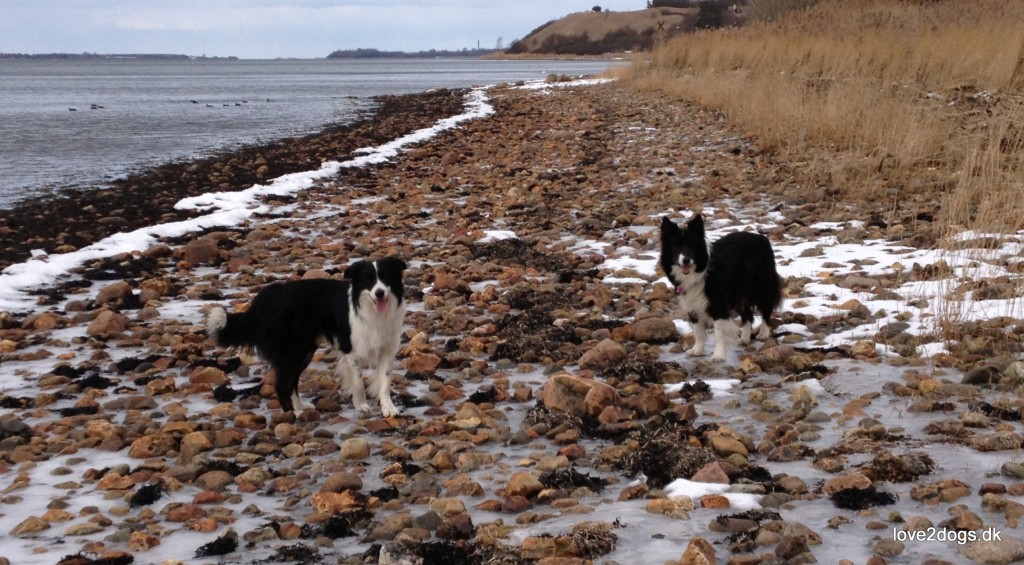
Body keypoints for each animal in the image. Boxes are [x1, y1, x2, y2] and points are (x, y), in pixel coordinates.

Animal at [205, 257, 405, 417]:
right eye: (367, 280)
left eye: (386, 277)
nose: (380, 293)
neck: (374, 312)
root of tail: (269, 296)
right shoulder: (352, 350)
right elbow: (358, 384)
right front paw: (362, 405)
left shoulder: (387, 349)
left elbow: (385, 382)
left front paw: (388, 408)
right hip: (293, 350)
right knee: (282, 383)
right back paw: (292, 413)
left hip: (304, 350)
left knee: (291, 382)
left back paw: (300, 407)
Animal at [659, 213, 778, 360]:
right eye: (676, 246)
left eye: (692, 245)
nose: (686, 260)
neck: (699, 273)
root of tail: (762, 238)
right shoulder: (691, 303)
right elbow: (698, 331)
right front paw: (697, 350)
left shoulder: (718, 304)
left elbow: (719, 332)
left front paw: (718, 355)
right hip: (739, 292)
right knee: (747, 315)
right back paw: (744, 338)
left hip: (760, 287)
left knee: (766, 308)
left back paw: (764, 333)